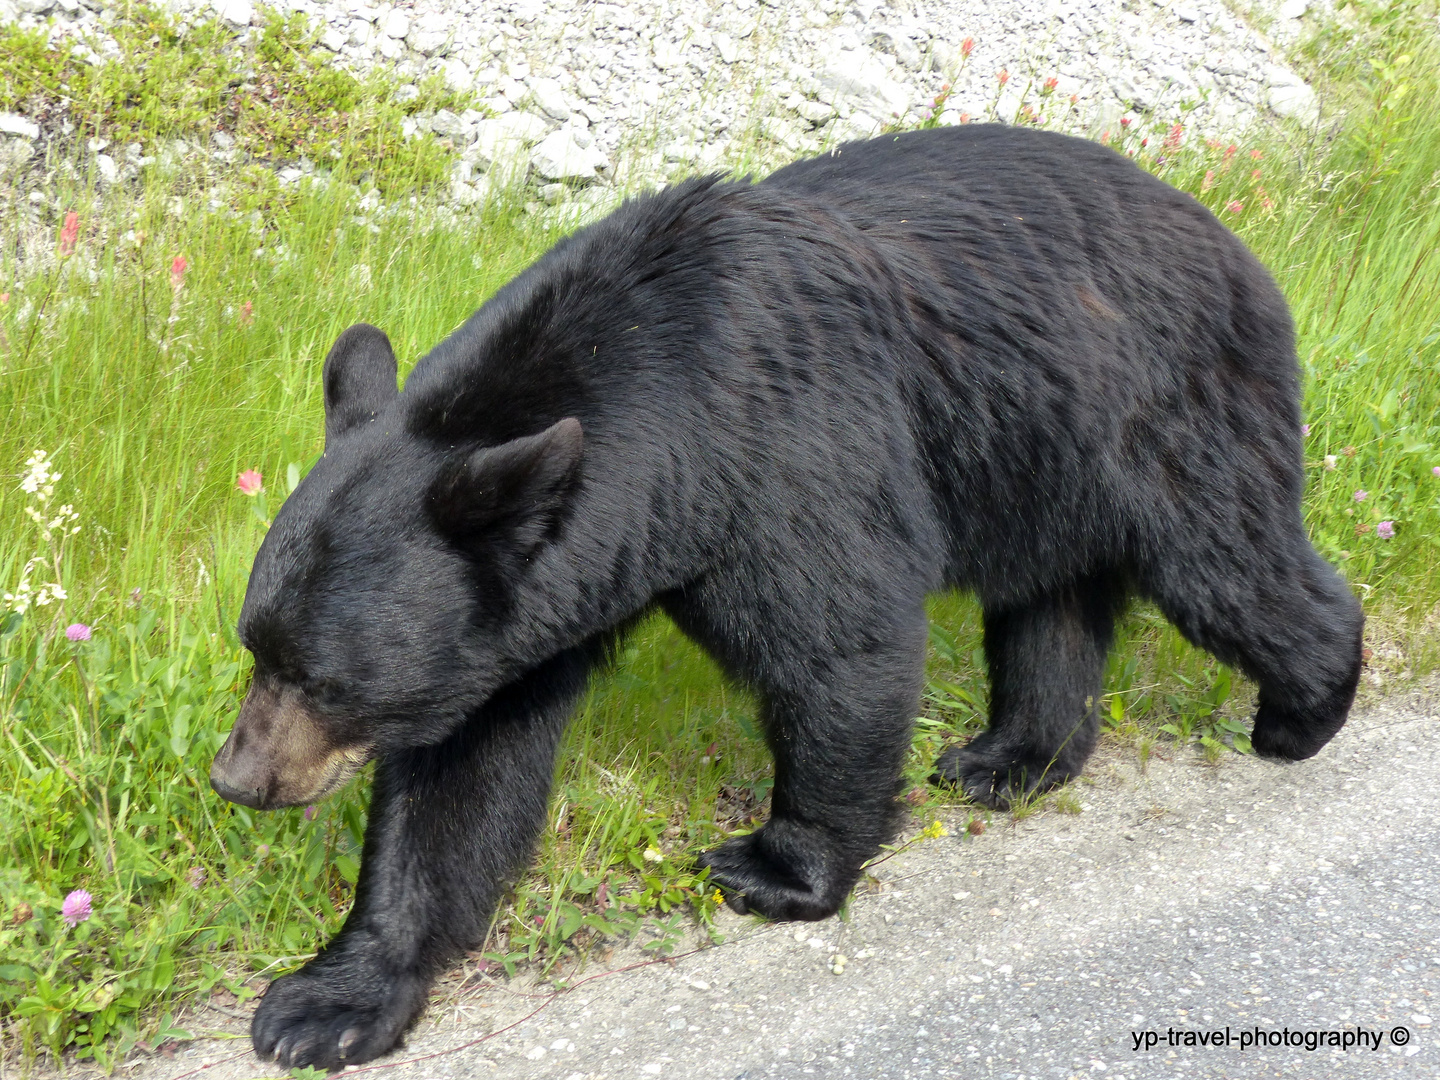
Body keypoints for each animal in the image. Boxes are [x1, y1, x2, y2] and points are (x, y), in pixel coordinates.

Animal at [208, 122, 1353, 1071]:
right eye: (257, 647)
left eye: (326, 680)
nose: (237, 778)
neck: (665, 406)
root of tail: (1230, 235)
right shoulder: (538, 589)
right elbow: (464, 774)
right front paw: (328, 1003)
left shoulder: (786, 450)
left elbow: (838, 643)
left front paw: (773, 869)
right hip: (1040, 452)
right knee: (1051, 604)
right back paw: (1011, 759)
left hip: (1159, 401)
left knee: (1228, 558)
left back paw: (1306, 707)